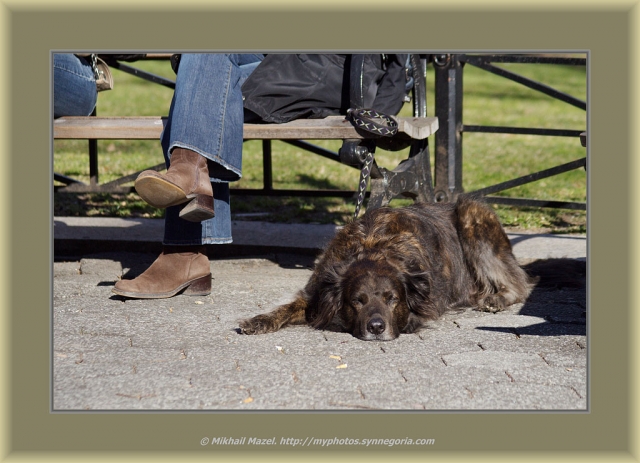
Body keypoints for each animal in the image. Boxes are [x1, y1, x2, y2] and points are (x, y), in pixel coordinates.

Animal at [240, 194, 536, 342]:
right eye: (357, 301)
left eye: (392, 299)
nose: (376, 327)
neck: (373, 247)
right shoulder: (318, 290)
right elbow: (286, 307)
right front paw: (259, 320)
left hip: (473, 219)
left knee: (518, 284)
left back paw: (496, 298)